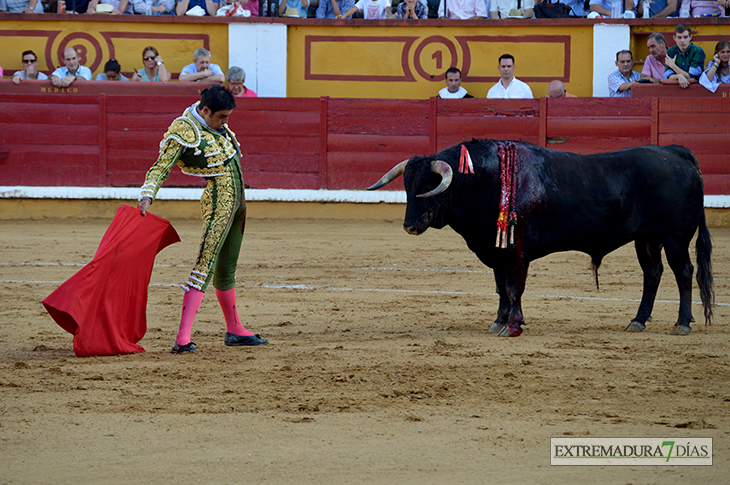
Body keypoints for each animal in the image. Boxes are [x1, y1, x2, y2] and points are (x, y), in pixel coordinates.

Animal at [364, 139, 712, 336]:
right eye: (407, 185)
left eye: (429, 184)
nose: (410, 226)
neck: (486, 180)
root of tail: (674, 153)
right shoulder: (495, 252)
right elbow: (501, 288)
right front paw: (499, 321)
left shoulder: (516, 251)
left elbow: (514, 287)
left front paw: (513, 325)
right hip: (647, 238)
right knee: (652, 273)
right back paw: (638, 320)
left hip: (675, 238)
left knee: (684, 273)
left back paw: (682, 323)